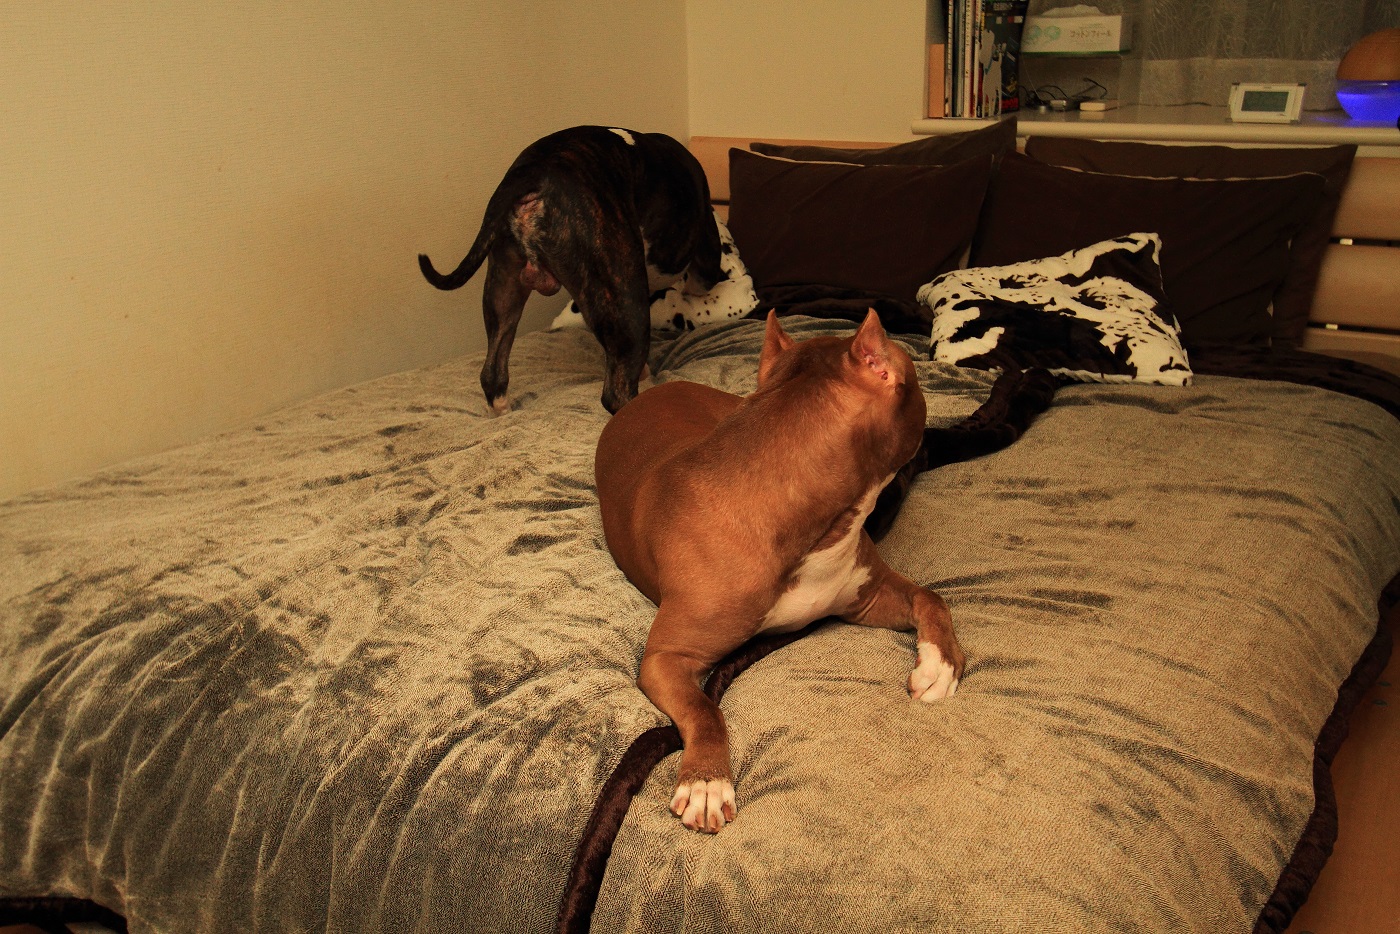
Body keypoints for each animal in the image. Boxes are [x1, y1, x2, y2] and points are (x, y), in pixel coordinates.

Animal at [418, 125, 724, 415]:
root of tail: (532, 172)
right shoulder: (705, 262)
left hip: (503, 288)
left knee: (492, 371)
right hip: (626, 300)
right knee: (617, 394)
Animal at [594, 310, 966, 833]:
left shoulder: (868, 594)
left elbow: (930, 597)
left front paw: (941, 664)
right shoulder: (667, 658)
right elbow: (705, 709)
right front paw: (706, 780)